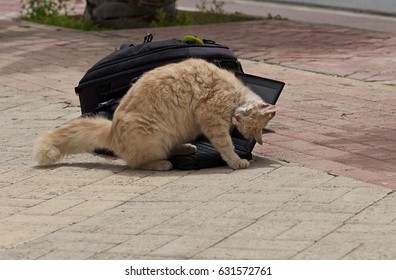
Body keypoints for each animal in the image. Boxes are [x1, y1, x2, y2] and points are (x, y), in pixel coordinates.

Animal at [34, 58, 276, 170]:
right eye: (250, 127)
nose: (238, 120)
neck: (236, 93)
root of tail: (111, 131)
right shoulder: (212, 120)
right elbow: (226, 145)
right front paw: (236, 161)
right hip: (153, 134)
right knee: (137, 162)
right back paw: (161, 164)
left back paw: (186, 148)